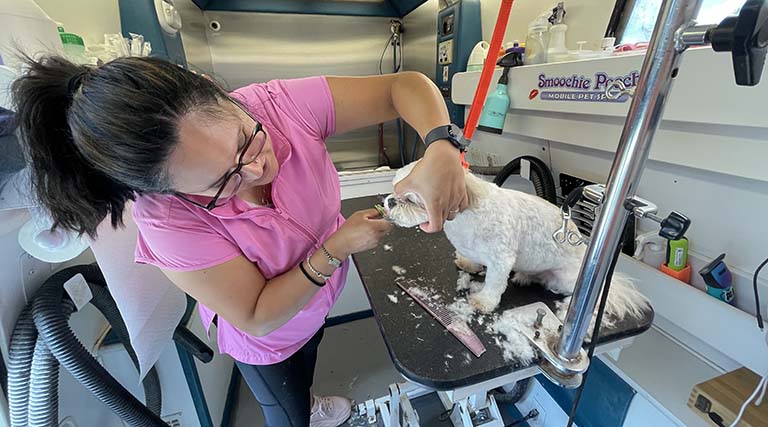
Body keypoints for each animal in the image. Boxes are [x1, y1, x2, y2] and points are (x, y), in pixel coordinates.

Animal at [384, 162, 648, 326]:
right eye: (393, 189)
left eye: (410, 199)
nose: (389, 201)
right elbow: (471, 258)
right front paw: (469, 263)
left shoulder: (501, 259)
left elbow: (493, 283)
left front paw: (483, 301)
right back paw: (524, 276)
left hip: (569, 279)